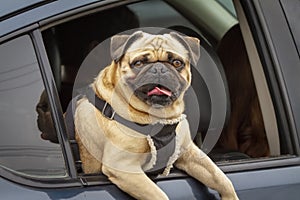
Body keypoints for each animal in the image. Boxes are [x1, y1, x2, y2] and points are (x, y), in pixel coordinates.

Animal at [74, 30, 238, 200]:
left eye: (177, 63)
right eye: (138, 63)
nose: (159, 69)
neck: (159, 118)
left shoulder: (190, 154)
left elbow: (220, 178)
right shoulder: (124, 167)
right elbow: (159, 195)